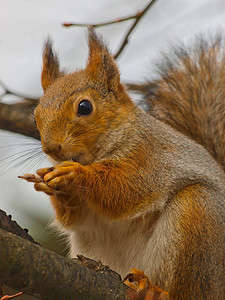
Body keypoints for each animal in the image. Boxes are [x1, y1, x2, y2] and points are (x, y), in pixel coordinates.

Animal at [21, 29, 225, 298]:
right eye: (35, 118)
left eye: (84, 106)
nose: (51, 149)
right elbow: (74, 218)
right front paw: (52, 184)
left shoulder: (151, 156)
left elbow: (127, 188)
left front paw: (76, 174)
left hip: (199, 224)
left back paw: (156, 291)